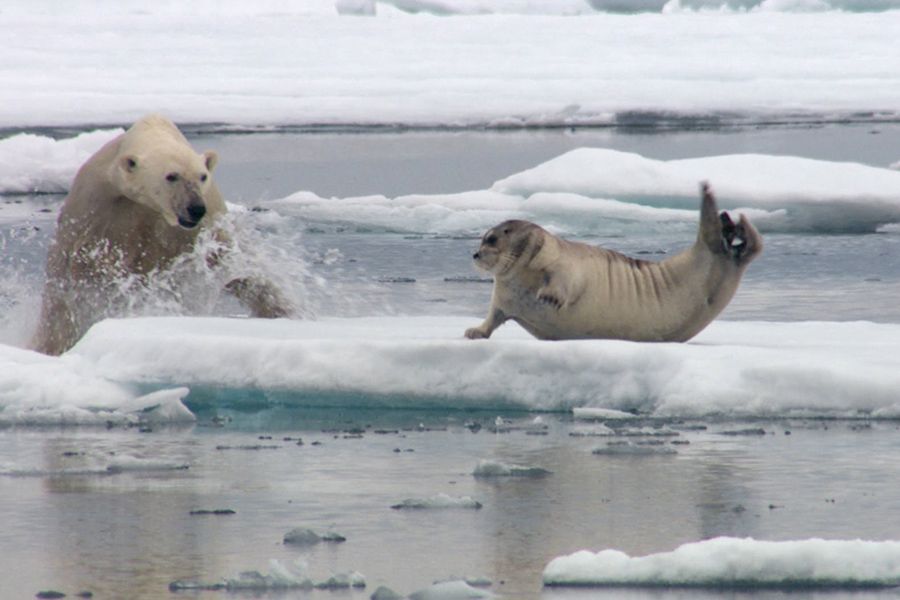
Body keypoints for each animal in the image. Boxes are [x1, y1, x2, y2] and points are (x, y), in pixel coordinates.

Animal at [31, 114, 293, 355]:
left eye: (202, 176)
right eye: (171, 176)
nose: (195, 208)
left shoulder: (201, 223)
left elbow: (233, 262)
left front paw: (283, 311)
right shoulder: (97, 210)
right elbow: (86, 270)